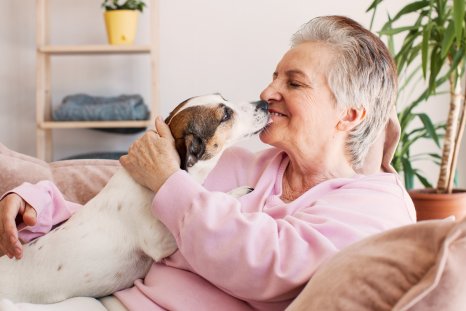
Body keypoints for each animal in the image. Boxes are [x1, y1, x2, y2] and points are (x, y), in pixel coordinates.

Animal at [0, 94, 270, 304]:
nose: (265, 103)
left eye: (225, 99)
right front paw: (236, 193)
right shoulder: (160, 240)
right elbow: (209, 197)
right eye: (225, 115)